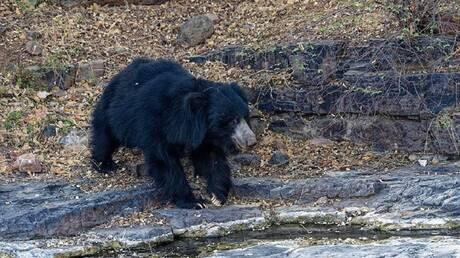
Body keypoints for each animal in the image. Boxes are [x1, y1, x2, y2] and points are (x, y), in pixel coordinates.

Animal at [90, 57, 255, 209]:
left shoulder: (205, 135)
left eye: (245, 116)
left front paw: (217, 195)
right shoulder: (155, 124)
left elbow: (212, 158)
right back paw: (104, 164)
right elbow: (165, 161)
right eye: (232, 121)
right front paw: (193, 201)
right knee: (105, 134)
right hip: (114, 110)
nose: (251, 141)